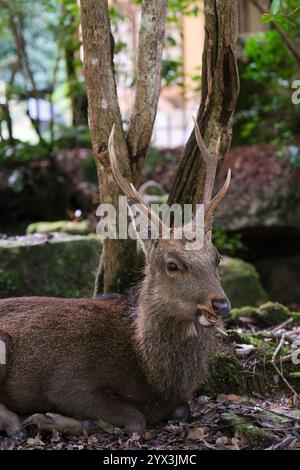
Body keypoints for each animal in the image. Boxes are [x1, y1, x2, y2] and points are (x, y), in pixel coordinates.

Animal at [0, 121, 232, 436]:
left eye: (216, 258)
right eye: (172, 265)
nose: (220, 304)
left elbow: (182, 410)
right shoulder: (68, 382)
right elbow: (135, 419)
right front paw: (46, 418)